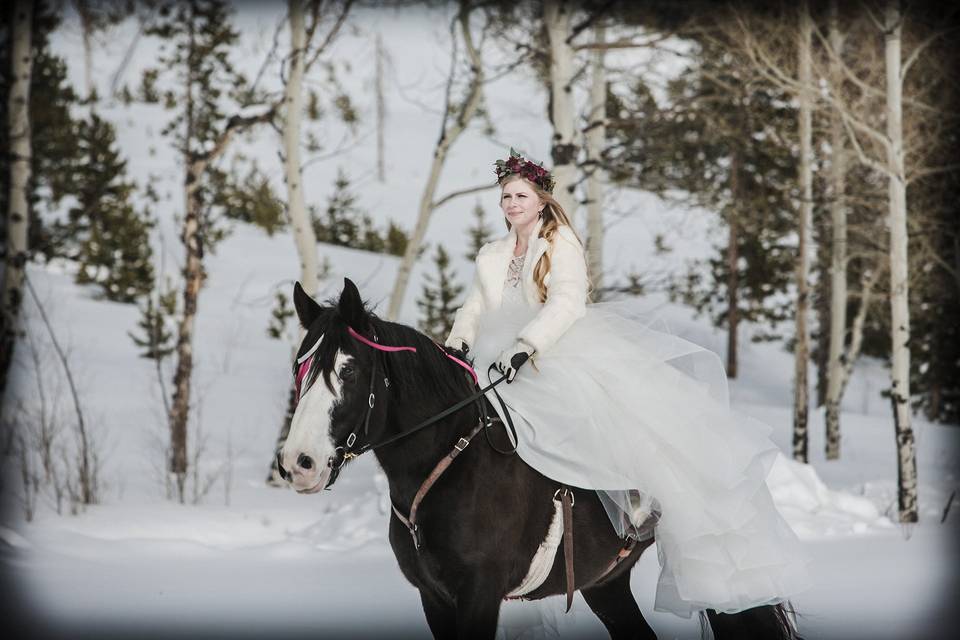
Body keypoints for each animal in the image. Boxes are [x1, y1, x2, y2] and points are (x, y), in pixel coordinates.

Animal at [274, 278, 800, 640]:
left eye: (348, 369)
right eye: (299, 366)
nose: (298, 462)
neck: (453, 465)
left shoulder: (480, 594)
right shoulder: (434, 598)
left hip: (716, 575)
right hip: (606, 583)